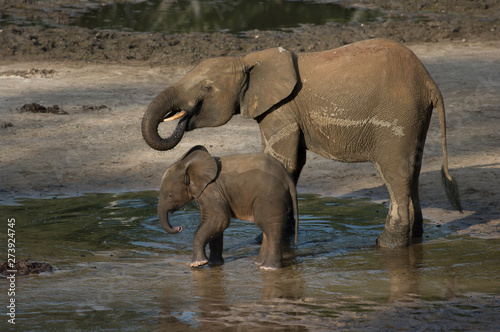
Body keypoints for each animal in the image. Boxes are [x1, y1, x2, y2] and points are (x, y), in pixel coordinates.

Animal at [141, 37, 460, 248]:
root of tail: (429, 81)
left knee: (395, 173)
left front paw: (262, 239)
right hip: (415, 116)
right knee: (413, 170)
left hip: (398, 117)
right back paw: (414, 238)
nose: (182, 119)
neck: (248, 61)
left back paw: (386, 245)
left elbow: (282, 160)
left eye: (206, 88)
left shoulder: (281, 110)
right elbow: (294, 164)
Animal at [157, 145, 296, 270]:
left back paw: (269, 268)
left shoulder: (211, 190)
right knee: (267, 227)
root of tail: (288, 178)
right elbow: (216, 225)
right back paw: (259, 264)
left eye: (170, 195)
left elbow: (219, 219)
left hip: (270, 198)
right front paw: (214, 264)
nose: (179, 227)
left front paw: (198, 264)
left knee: (269, 226)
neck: (187, 166)